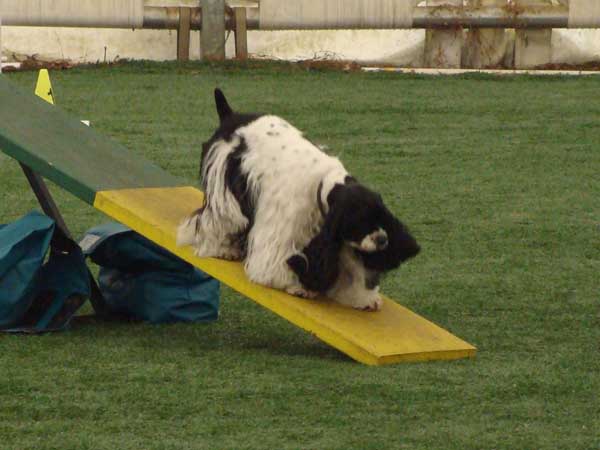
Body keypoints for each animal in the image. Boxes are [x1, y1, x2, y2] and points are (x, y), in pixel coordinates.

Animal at [178, 89, 420, 312]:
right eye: (359, 221)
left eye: (380, 216)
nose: (383, 240)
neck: (324, 184)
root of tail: (232, 116)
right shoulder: (285, 229)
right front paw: (298, 286)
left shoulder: (333, 237)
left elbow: (351, 268)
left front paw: (362, 298)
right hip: (224, 190)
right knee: (214, 221)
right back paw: (222, 249)